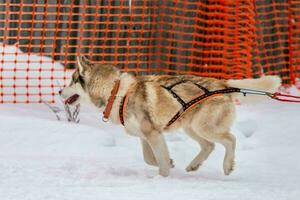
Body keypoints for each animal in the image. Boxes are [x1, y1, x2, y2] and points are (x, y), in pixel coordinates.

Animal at [59, 56, 282, 177]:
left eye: (71, 81)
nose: (60, 91)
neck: (116, 91)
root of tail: (223, 83)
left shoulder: (153, 134)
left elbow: (161, 162)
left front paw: (163, 178)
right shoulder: (146, 136)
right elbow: (150, 158)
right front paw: (171, 163)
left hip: (203, 127)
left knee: (231, 139)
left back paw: (227, 166)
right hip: (191, 127)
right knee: (209, 146)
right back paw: (193, 165)